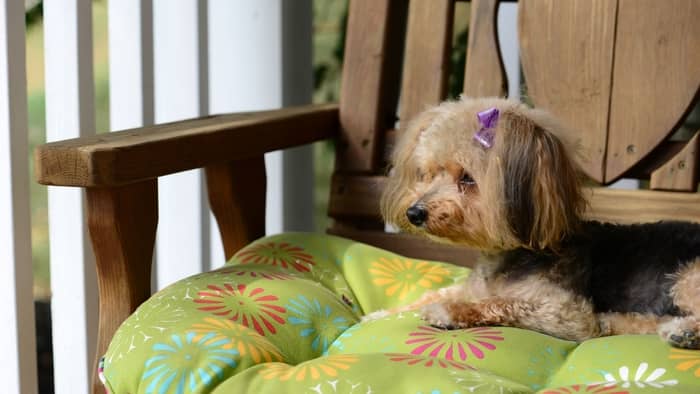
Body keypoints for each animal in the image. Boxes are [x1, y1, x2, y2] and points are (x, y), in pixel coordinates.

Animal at [374, 97, 700, 348]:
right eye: (427, 173)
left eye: (467, 178)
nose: (414, 213)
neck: (511, 253)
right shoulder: (475, 286)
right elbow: (440, 291)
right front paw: (380, 315)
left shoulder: (564, 313)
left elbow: (502, 302)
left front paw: (451, 311)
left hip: (688, 276)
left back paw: (684, 332)